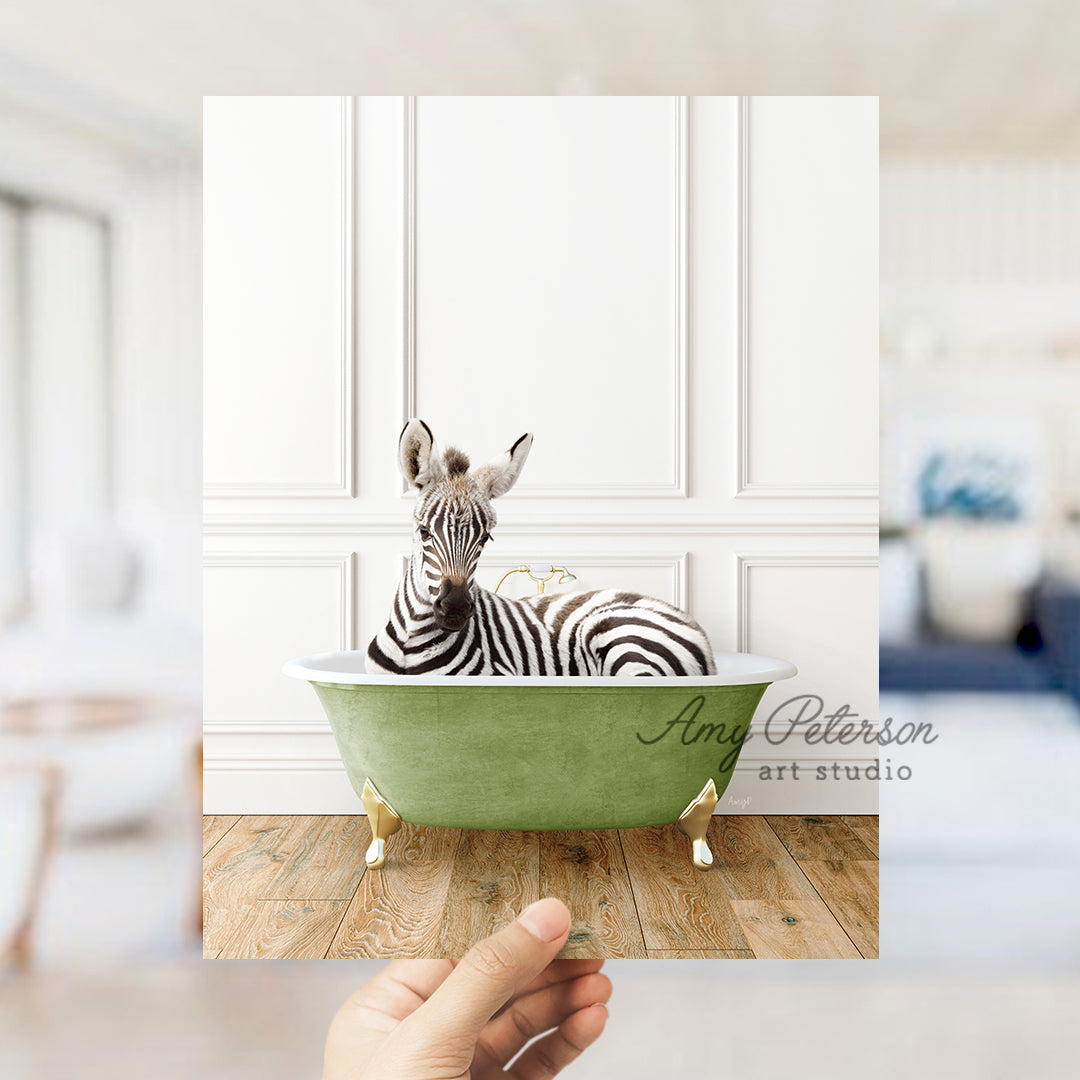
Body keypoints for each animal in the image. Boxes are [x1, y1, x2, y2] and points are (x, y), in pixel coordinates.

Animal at [367, 419, 721, 678]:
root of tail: (699, 633)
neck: (411, 641)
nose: (454, 607)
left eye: (485, 539)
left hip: (625, 643)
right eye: (424, 531)